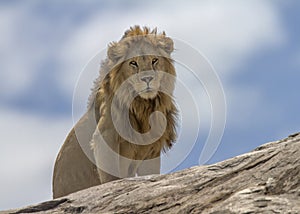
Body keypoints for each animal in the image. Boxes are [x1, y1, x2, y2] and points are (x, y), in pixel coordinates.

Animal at [52, 26, 177, 199]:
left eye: (154, 60)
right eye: (133, 63)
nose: (147, 79)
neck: (143, 106)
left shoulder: (151, 148)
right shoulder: (104, 136)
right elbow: (111, 177)